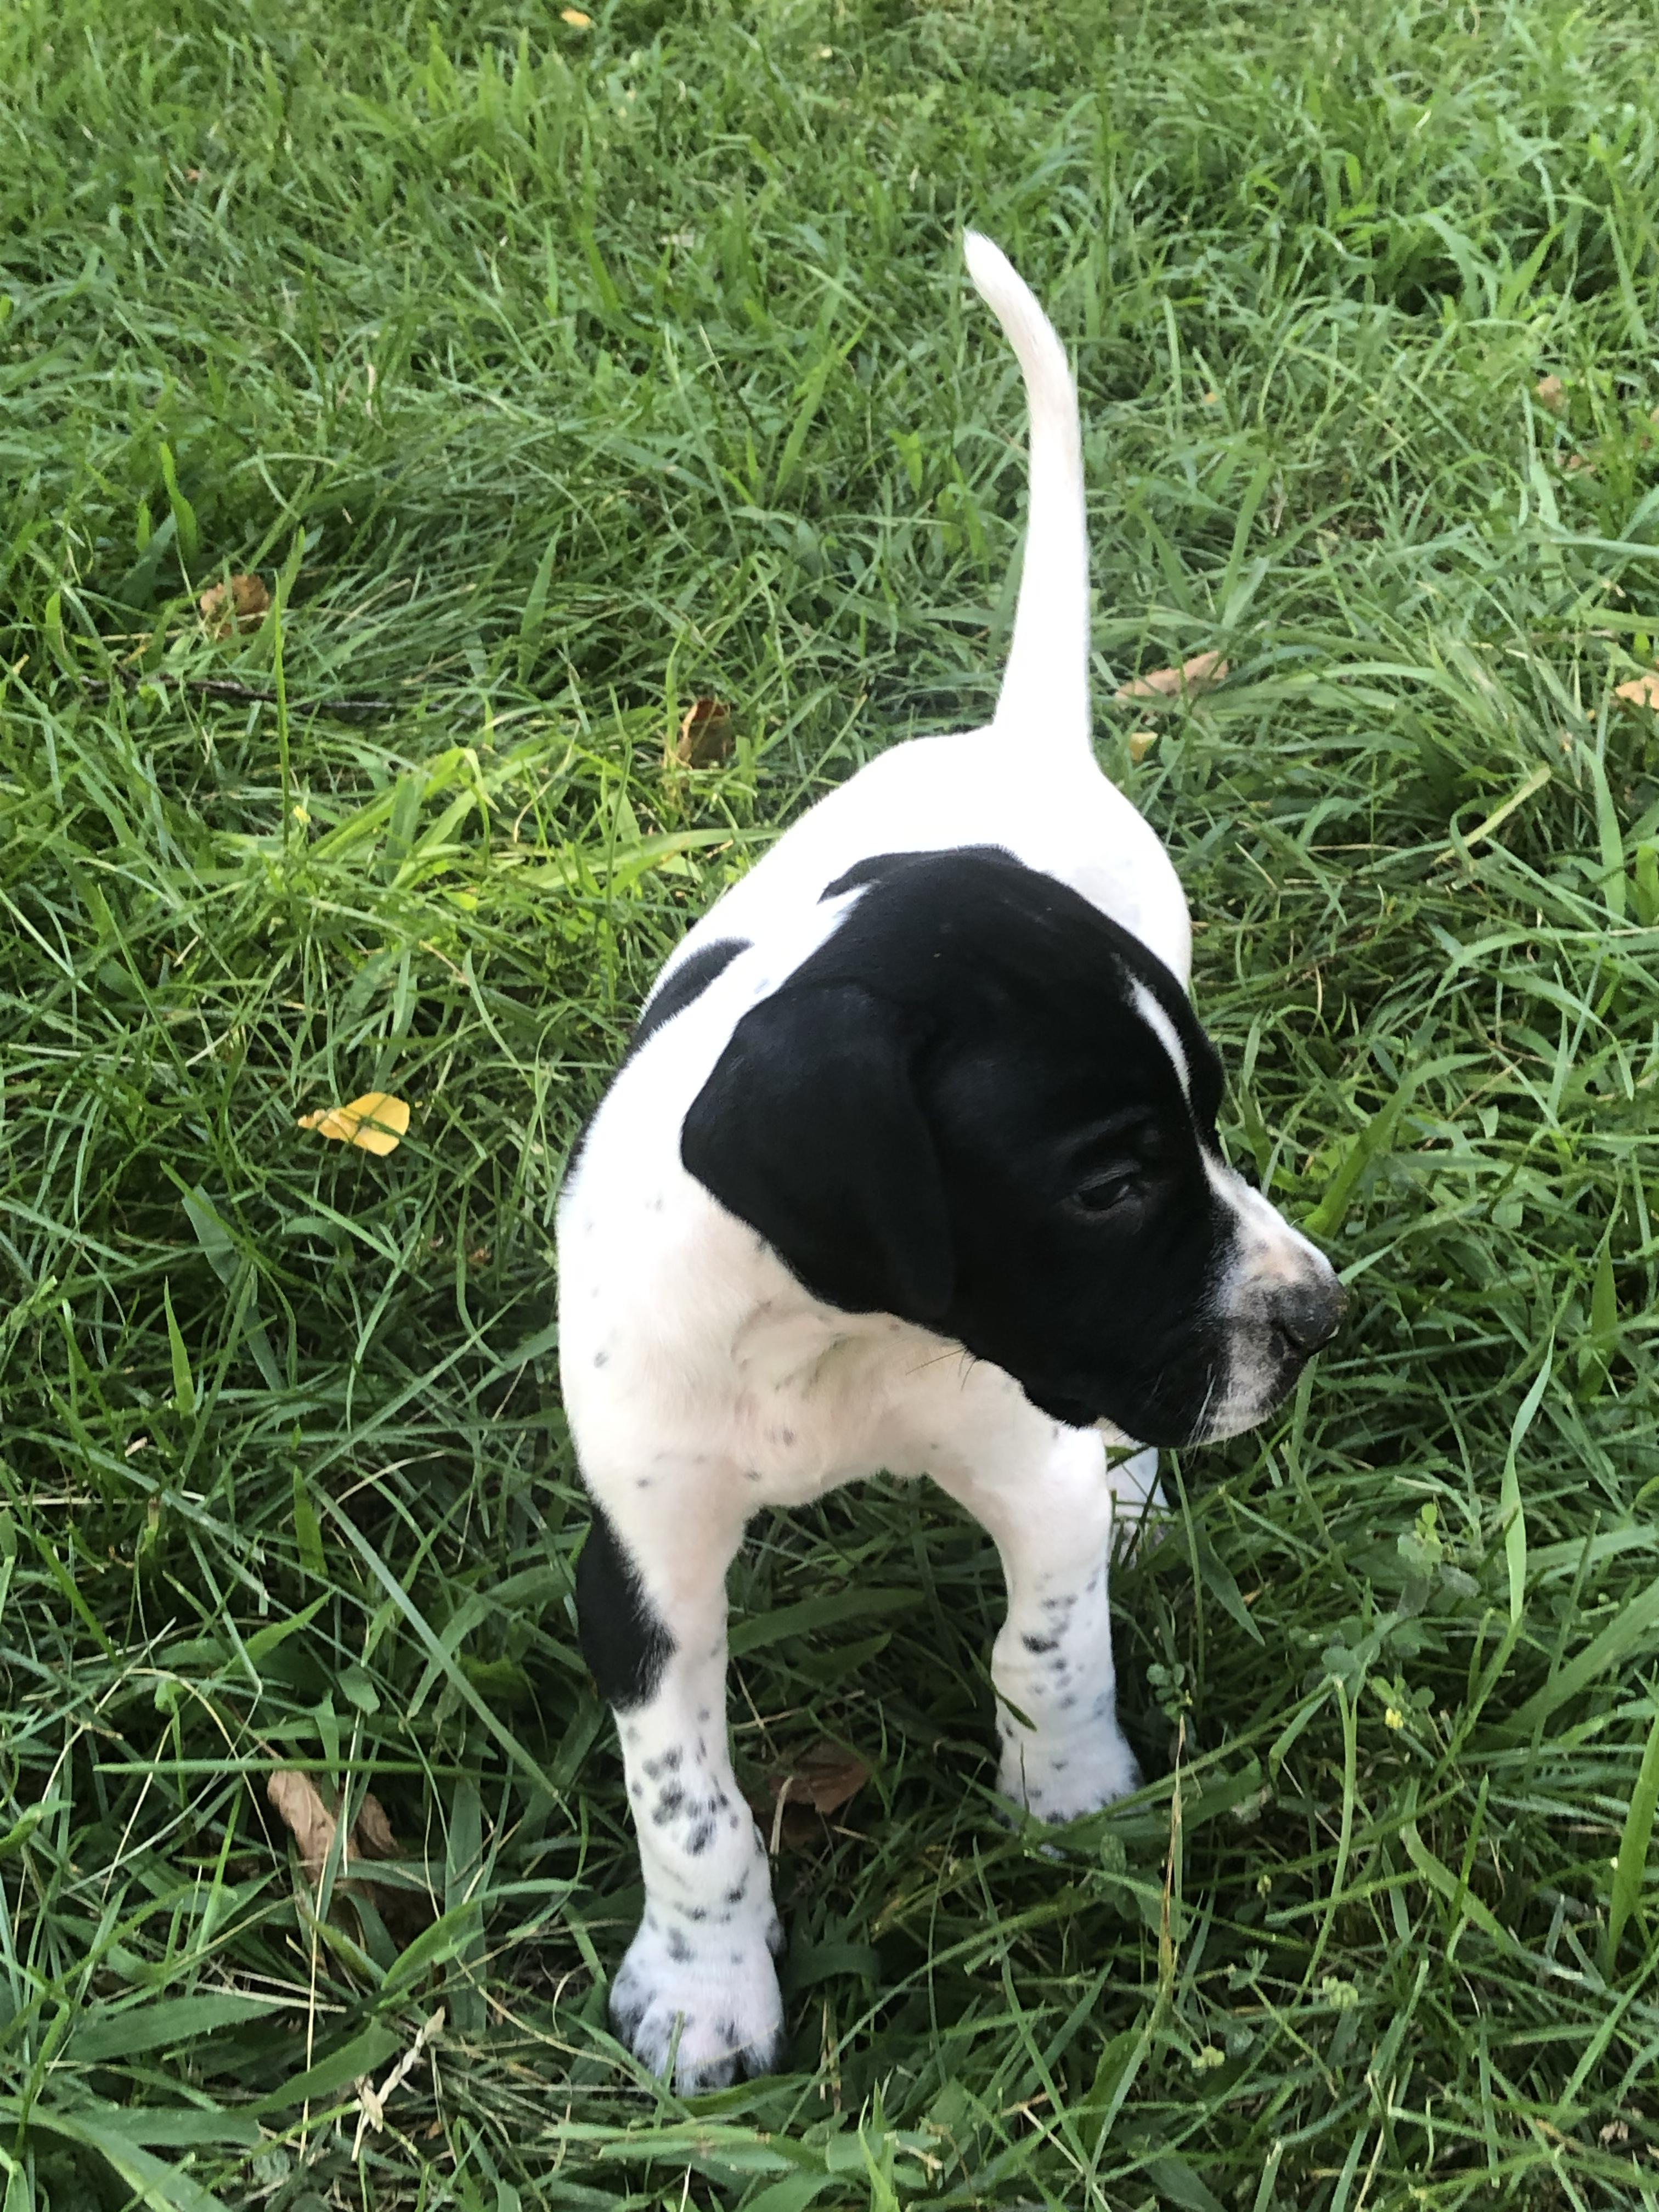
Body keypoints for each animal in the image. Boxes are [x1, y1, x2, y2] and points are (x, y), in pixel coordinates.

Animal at [557, 233, 1345, 2091]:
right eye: (1110, 1185)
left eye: (1208, 1127)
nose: (1320, 1317)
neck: (818, 1341)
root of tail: (1020, 742)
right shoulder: (640, 1559)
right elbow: (684, 1799)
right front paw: (703, 1986)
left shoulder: (1027, 1470)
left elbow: (1042, 1637)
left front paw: (1074, 1795)